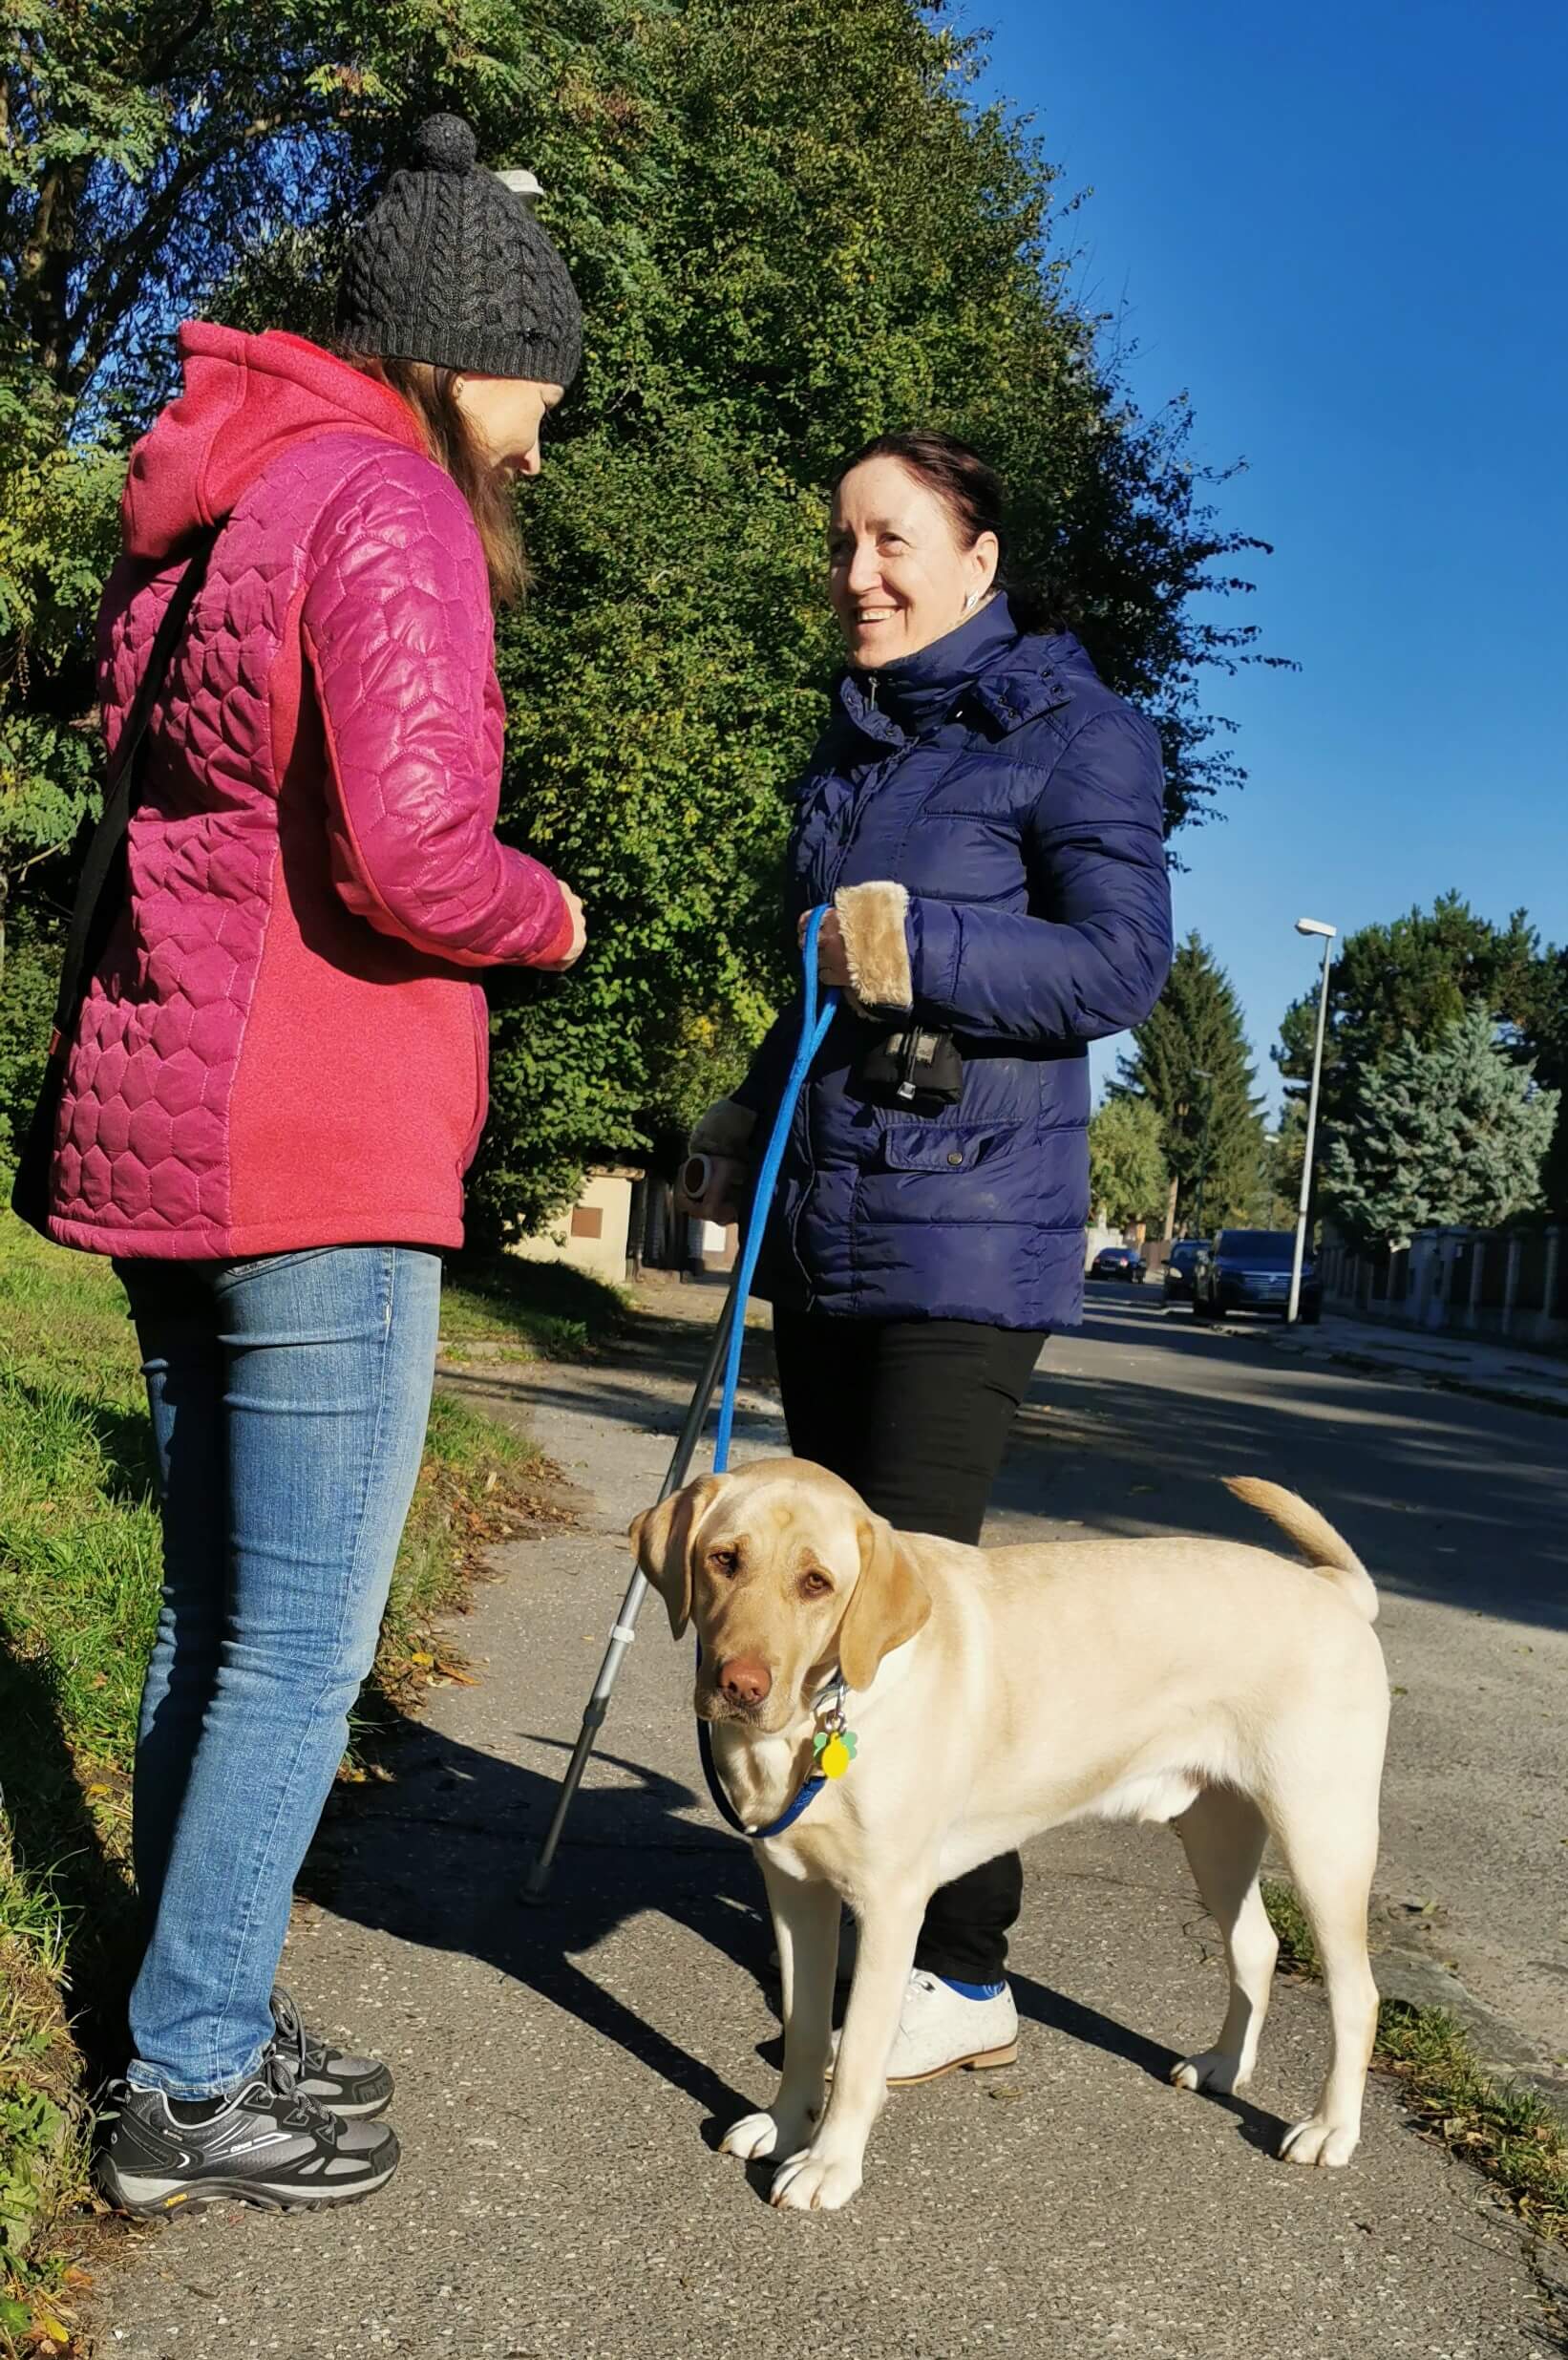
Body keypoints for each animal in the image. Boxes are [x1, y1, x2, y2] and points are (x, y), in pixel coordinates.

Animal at [622, 1454, 1386, 2208]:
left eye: (817, 1582)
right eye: (723, 1559)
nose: (741, 1686)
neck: (826, 1707)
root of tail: (1336, 1591)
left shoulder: (891, 1904)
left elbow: (861, 2050)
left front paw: (829, 2164)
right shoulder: (793, 1889)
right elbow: (805, 2027)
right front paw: (784, 2125)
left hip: (1324, 1834)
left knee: (1357, 1993)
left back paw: (1331, 2129)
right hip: (1215, 1831)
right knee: (1256, 1944)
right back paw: (1227, 2062)